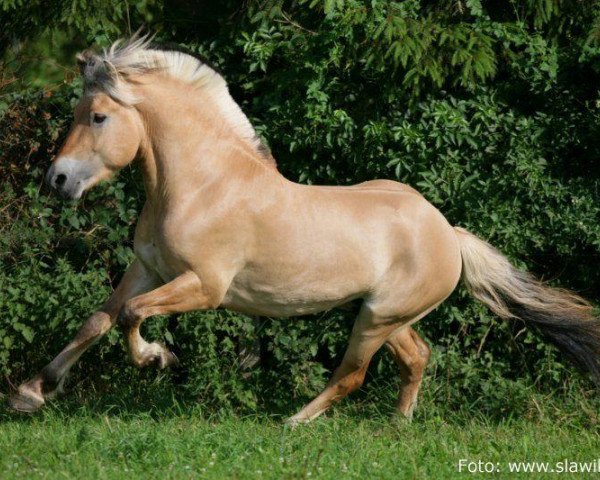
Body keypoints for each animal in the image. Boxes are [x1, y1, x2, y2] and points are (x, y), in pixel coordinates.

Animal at [9, 35, 600, 422]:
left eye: (99, 117)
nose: (56, 179)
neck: (203, 185)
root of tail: (448, 233)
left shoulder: (205, 286)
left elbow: (131, 316)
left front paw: (158, 359)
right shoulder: (147, 268)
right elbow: (97, 320)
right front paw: (33, 392)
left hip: (377, 319)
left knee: (352, 375)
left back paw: (294, 423)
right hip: (385, 315)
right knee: (417, 358)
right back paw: (399, 426)